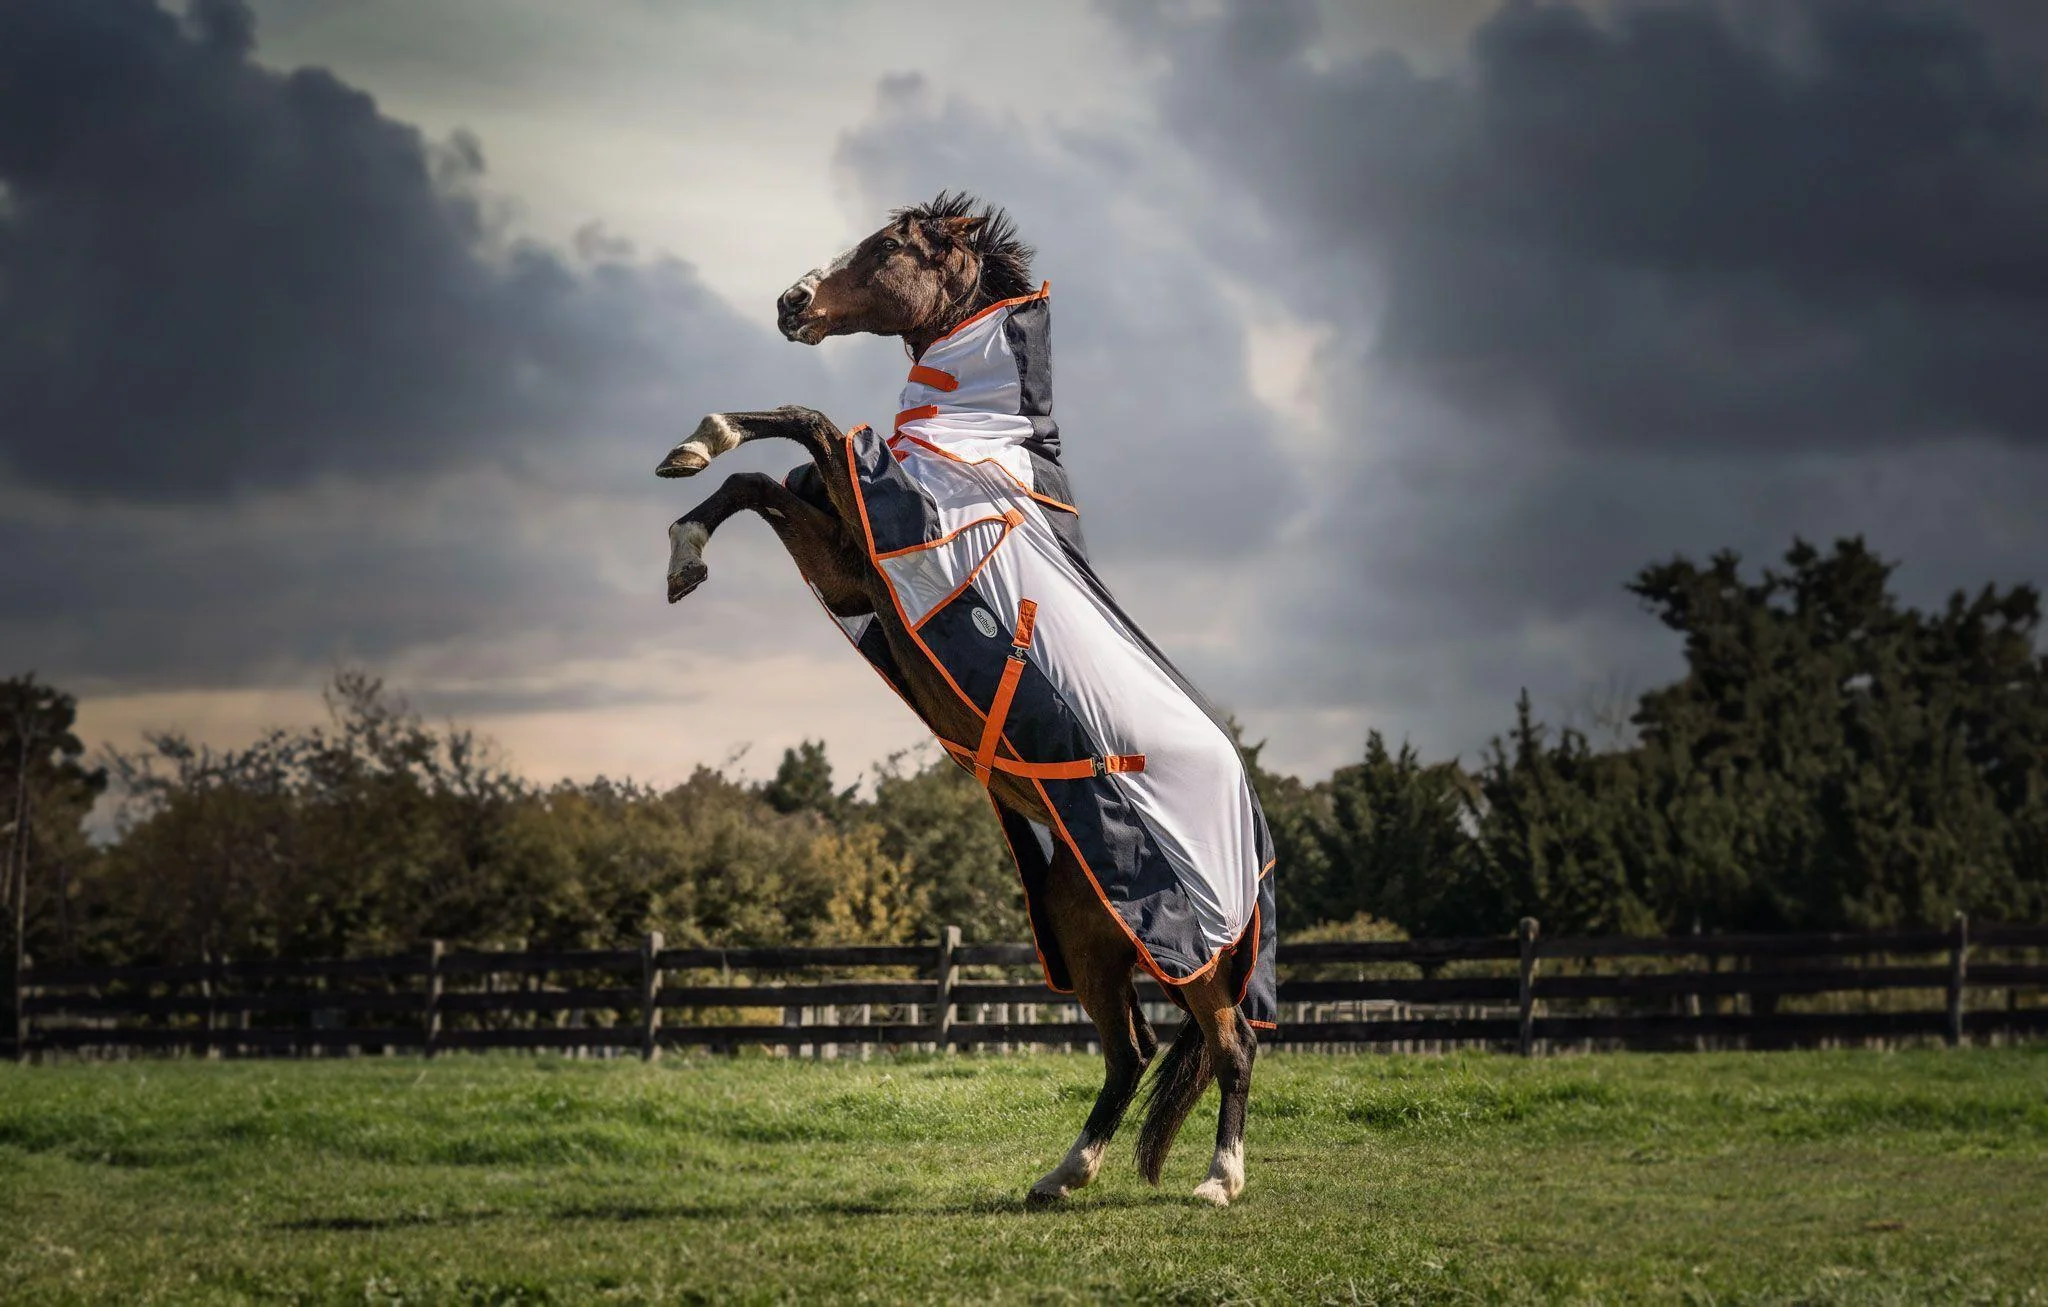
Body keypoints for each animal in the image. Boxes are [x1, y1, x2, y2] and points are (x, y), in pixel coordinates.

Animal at [656, 192, 1274, 1208]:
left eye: (889, 247)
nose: (791, 302)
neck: (976, 444)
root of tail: (1256, 839)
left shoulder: (879, 528)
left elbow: (808, 421)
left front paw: (701, 438)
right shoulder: (857, 568)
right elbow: (758, 478)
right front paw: (685, 546)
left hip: (1195, 950)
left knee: (1233, 1044)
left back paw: (1219, 1178)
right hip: (1089, 932)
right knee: (1131, 1050)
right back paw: (1065, 1171)